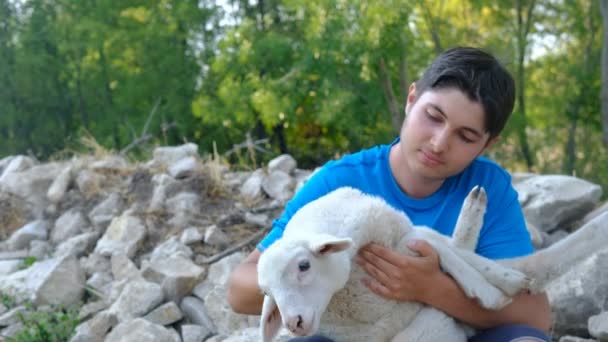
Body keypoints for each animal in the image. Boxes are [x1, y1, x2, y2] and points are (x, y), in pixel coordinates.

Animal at [256, 187, 608, 342]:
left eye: (304, 266)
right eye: (267, 293)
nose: (294, 323)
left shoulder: (403, 234)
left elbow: (441, 245)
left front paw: (497, 283)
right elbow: (442, 245)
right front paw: (495, 289)